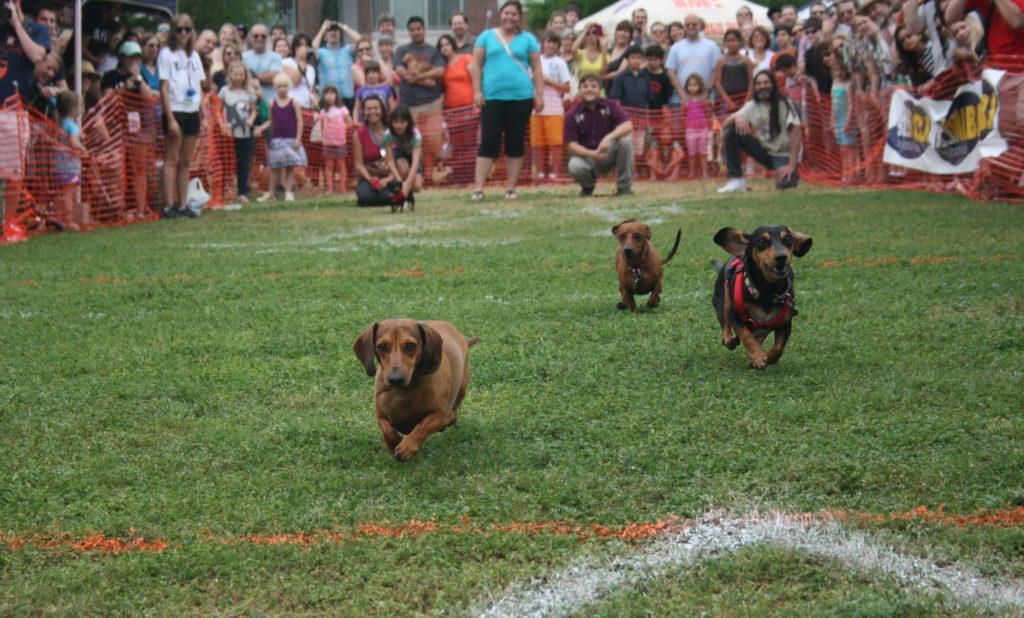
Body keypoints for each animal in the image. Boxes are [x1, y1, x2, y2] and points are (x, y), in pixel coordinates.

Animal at [352, 321, 479, 460]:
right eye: (382, 346)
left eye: (410, 346)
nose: (395, 379)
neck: (403, 392)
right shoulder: (380, 415)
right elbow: (387, 429)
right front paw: (393, 442)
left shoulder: (439, 415)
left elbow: (421, 428)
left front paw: (407, 447)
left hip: (462, 387)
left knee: (454, 409)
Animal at [716, 226, 811, 366]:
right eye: (762, 241)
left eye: (788, 239)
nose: (781, 257)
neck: (767, 292)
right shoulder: (735, 318)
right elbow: (746, 335)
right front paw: (758, 356)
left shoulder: (786, 324)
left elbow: (778, 348)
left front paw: (765, 357)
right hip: (722, 301)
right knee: (725, 322)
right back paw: (729, 339)